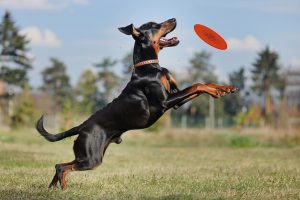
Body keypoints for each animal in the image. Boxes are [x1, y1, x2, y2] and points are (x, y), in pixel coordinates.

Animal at [35, 18, 237, 189]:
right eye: (155, 25)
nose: (174, 19)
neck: (150, 66)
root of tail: (81, 126)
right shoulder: (165, 102)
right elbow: (197, 84)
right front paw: (217, 91)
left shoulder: (175, 99)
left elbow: (201, 85)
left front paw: (224, 88)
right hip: (91, 158)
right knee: (62, 167)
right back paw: (62, 188)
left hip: (89, 155)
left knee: (59, 165)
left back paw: (53, 188)